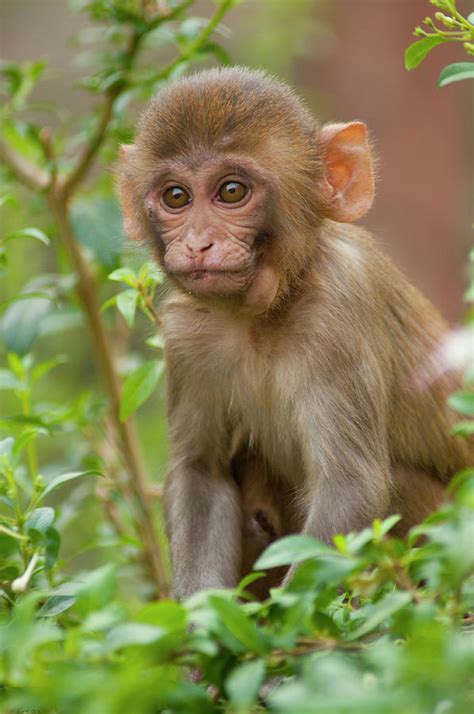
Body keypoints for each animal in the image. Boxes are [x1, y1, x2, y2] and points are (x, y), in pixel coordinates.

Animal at [119, 68, 474, 596]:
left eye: (231, 191)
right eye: (176, 197)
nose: (198, 244)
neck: (262, 314)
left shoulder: (339, 309)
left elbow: (350, 488)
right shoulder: (186, 334)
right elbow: (200, 473)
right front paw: (201, 617)